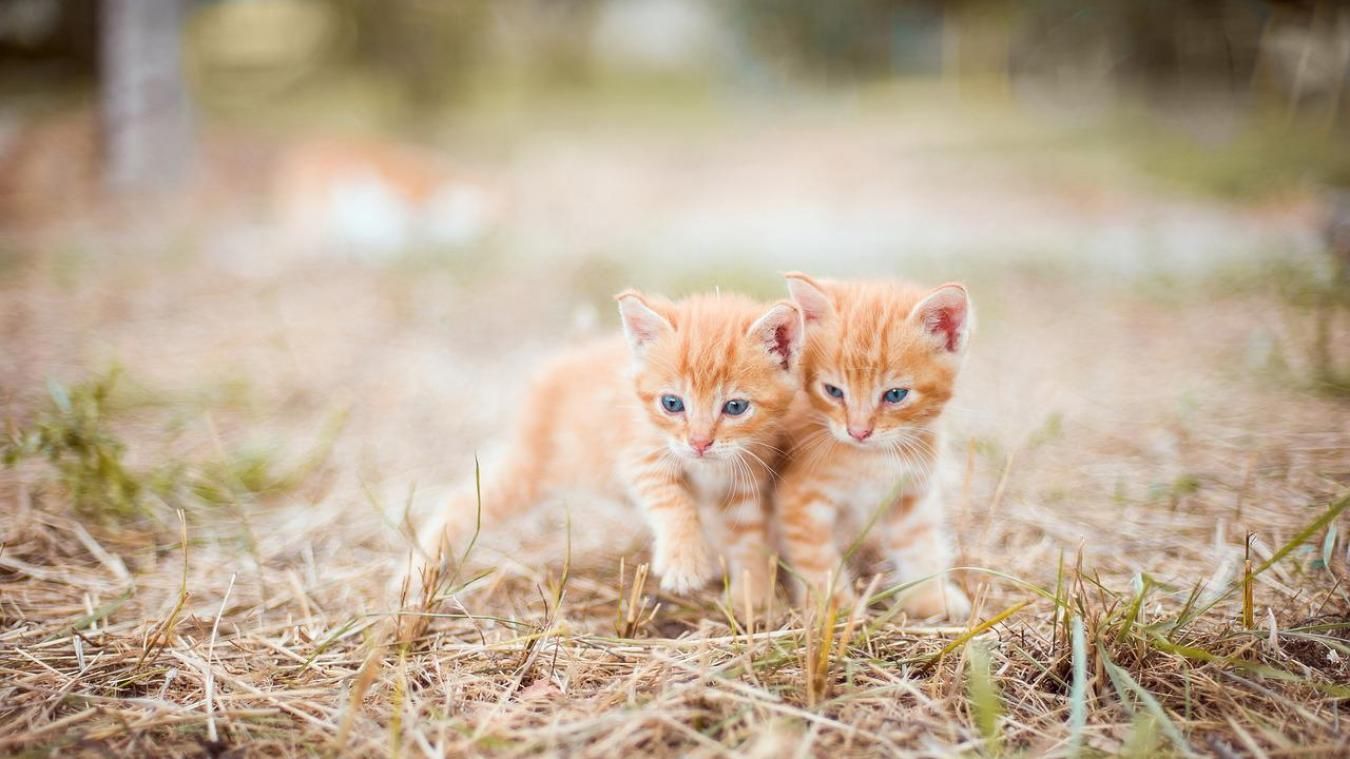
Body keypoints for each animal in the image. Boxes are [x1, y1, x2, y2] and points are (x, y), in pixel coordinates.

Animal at [410, 286, 799, 610]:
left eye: (735, 407)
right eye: (672, 404)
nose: (699, 443)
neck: (709, 467)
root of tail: (573, 351)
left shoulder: (746, 479)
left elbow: (750, 537)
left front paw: (753, 596)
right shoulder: (642, 456)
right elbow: (673, 502)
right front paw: (684, 561)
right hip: (530, 468)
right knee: (461, 503)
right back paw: (419, 572)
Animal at [777, 271, 977, 615]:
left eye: (895, 395)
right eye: (833, 391)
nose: (858, 431)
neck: (871, 459)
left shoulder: (911, 492)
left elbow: (919, 545)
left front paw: (930, 596)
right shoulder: (799, 498)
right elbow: (816, 557)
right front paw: (834, 607)